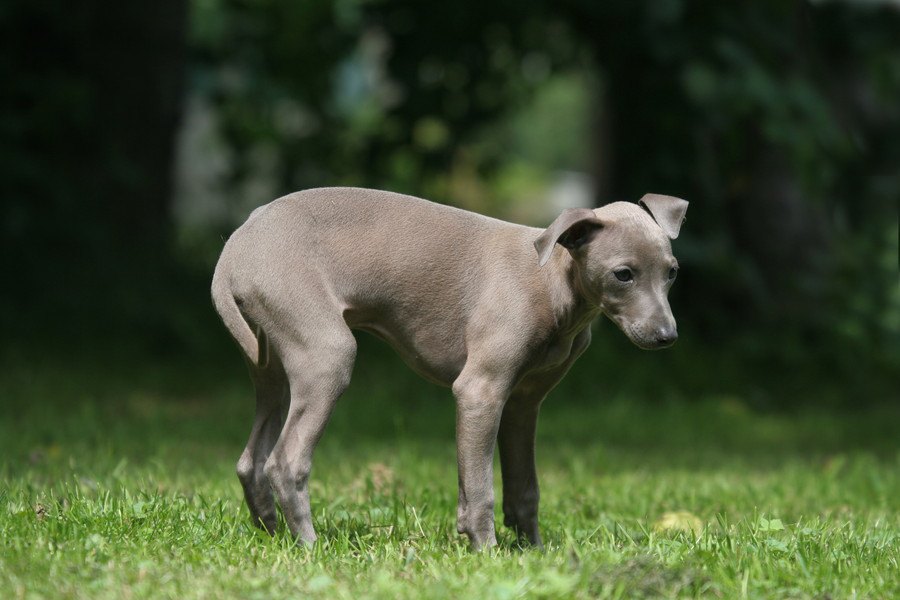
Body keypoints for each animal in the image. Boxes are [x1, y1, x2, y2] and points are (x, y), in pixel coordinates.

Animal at [213, 186, 688, 548]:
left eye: (672, 272)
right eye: (623, 274)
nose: (667, 336)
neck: (551, 283)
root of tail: (236, 244)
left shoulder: (523, 404)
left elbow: (524, 487)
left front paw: (533, 552)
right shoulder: (480, 391)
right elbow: (480, 488)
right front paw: (487, 552)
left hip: (271, 366)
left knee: (251, 459)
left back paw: (273, 535)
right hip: (326, 354)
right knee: (285, 460)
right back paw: (311, 546)